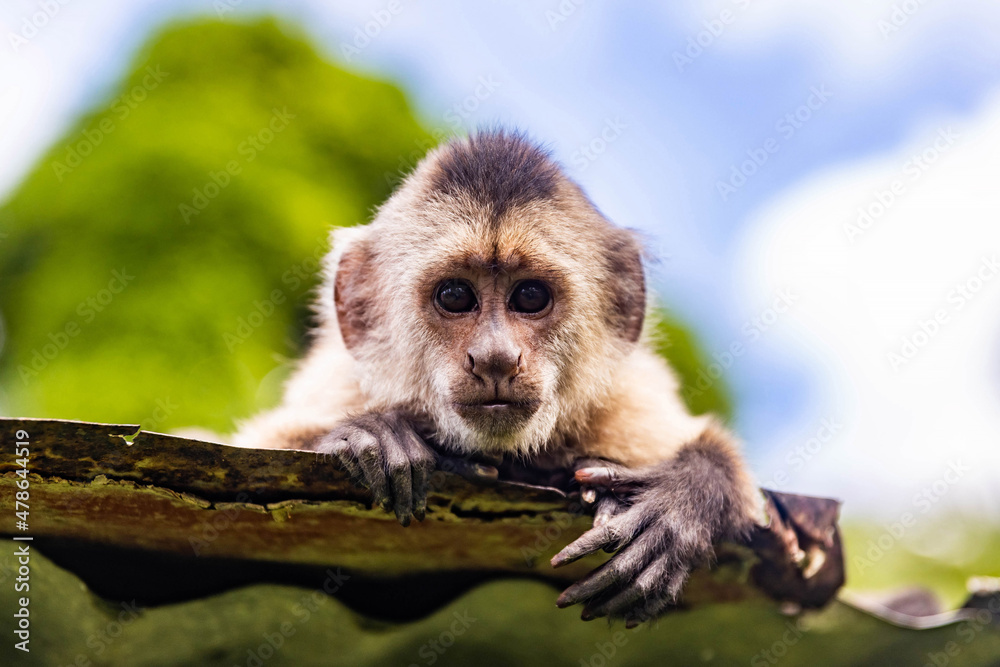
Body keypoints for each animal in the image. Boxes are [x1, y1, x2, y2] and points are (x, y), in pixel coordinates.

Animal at [233, 129, 762, 625]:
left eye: (530, 296)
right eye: (454, 295)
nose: (495, 359)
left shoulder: (628, 401)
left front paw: (682, 499)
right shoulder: (343, 381)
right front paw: (368, 436)